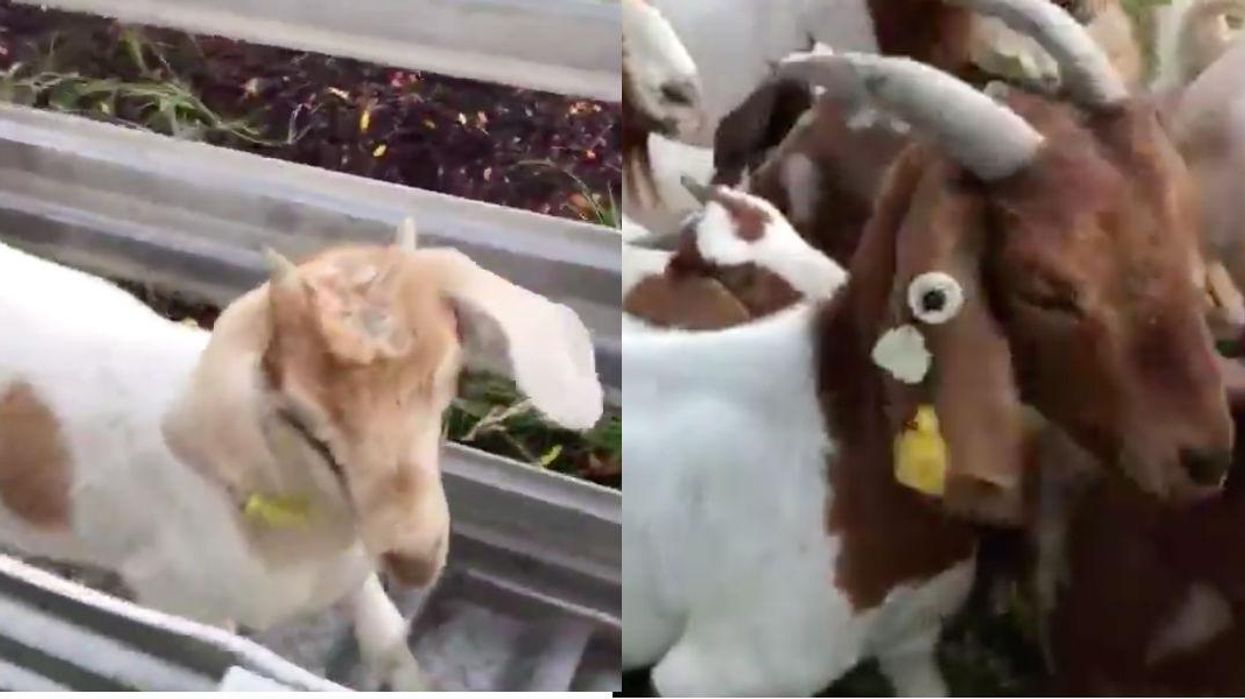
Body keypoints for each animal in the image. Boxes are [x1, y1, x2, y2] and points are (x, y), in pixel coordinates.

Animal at [623, 0, 1232, 692]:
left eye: (1185, 232)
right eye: (1046, 287)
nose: (1205, 458)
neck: (836, 444)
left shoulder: (911, 641)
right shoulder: (720, 673)